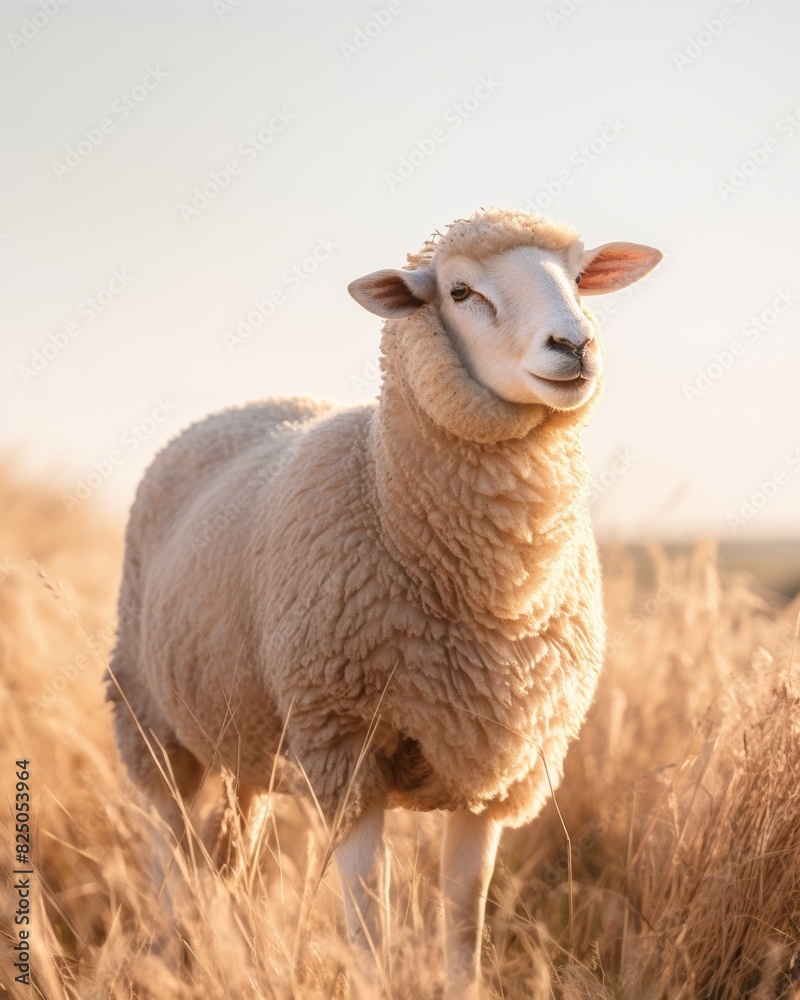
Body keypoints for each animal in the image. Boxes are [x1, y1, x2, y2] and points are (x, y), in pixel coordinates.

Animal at [107, 207, 663, 998]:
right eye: (460, 291)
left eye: (581, 278)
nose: (574, 346)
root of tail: (243, 404)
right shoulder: (346, 752)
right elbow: (371, 922)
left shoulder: (496, 764)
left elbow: (463, 922)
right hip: (147, 715)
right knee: (167, 851)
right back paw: (168, 953)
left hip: (242, 725)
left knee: (229, 852)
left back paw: (225, 947)